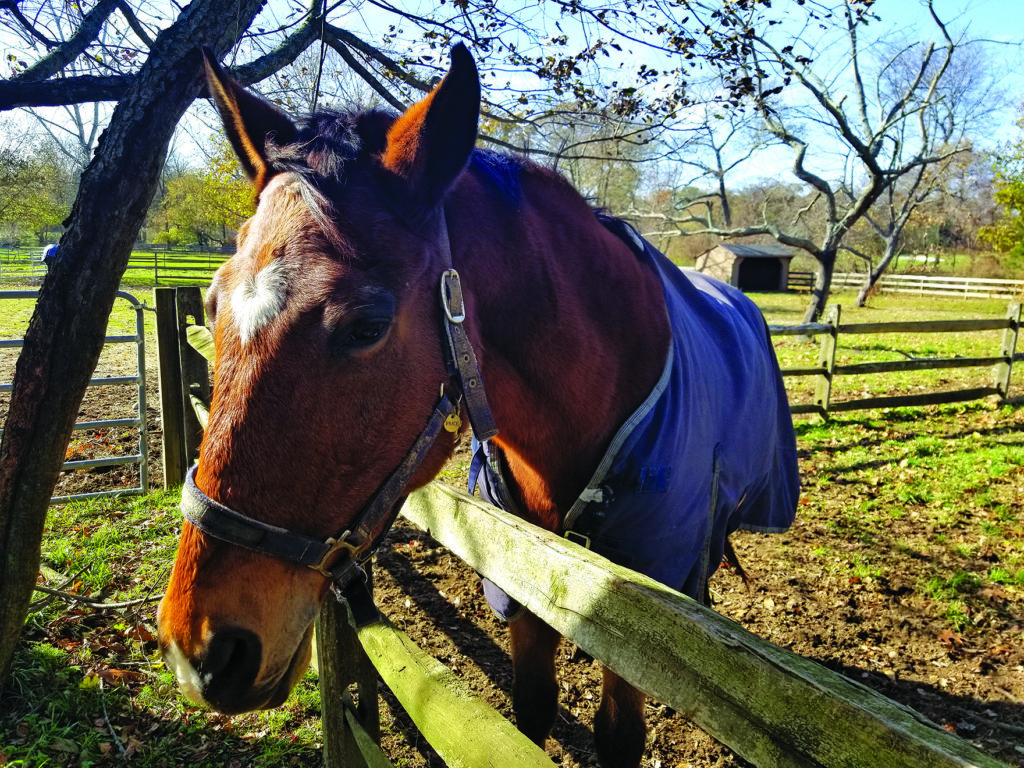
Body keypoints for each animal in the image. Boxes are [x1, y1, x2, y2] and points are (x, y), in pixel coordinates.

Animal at [157, 43, 799, 768]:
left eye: (366, 326)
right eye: (212, 302)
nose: (201, 654)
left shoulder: (644, 615)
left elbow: (619, 734)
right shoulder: (520, 581)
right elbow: (531, 708)